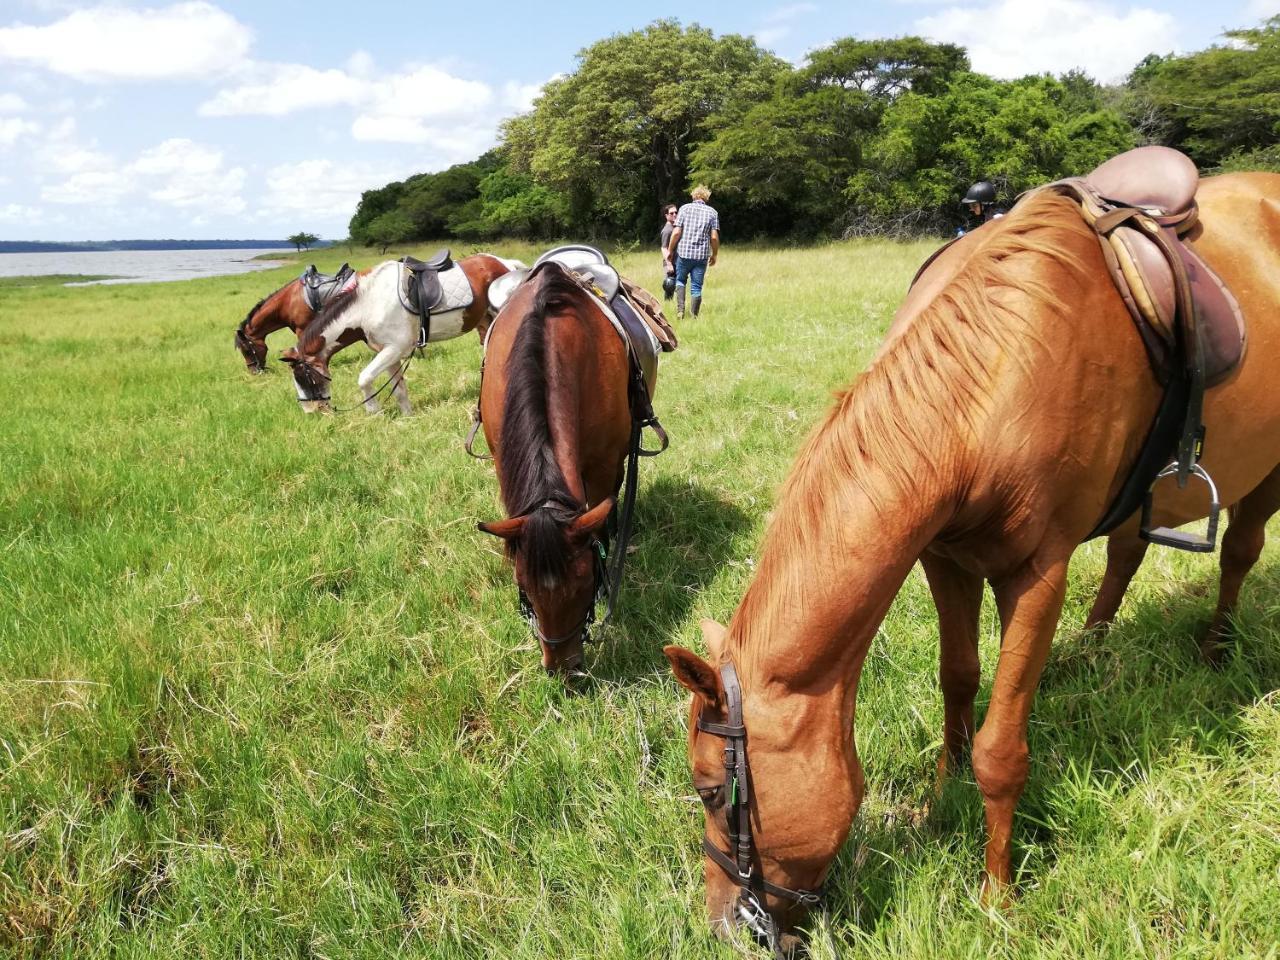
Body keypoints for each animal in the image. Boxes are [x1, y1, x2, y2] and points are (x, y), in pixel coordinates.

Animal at [286, 253, 524, 414]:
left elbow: (364, 378)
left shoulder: (394, 349)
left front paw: (374, 411)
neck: (367, 305)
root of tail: (507, 263)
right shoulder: (389, 353)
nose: (312, 411)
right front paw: (407, 416)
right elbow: (398, 388)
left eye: (303, 377)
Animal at [665, 175, 1280, 947]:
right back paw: (1093, 646)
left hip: (1267, 476)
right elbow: (956, 679)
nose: (724, 924)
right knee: (1128, 550)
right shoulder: (944, 558)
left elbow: (1000, 751)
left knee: (1239, 554)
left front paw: (996, 897)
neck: (990, 378)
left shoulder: (1037, 576)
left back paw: (1216, 646)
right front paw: (937, 802)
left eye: (713, 791)